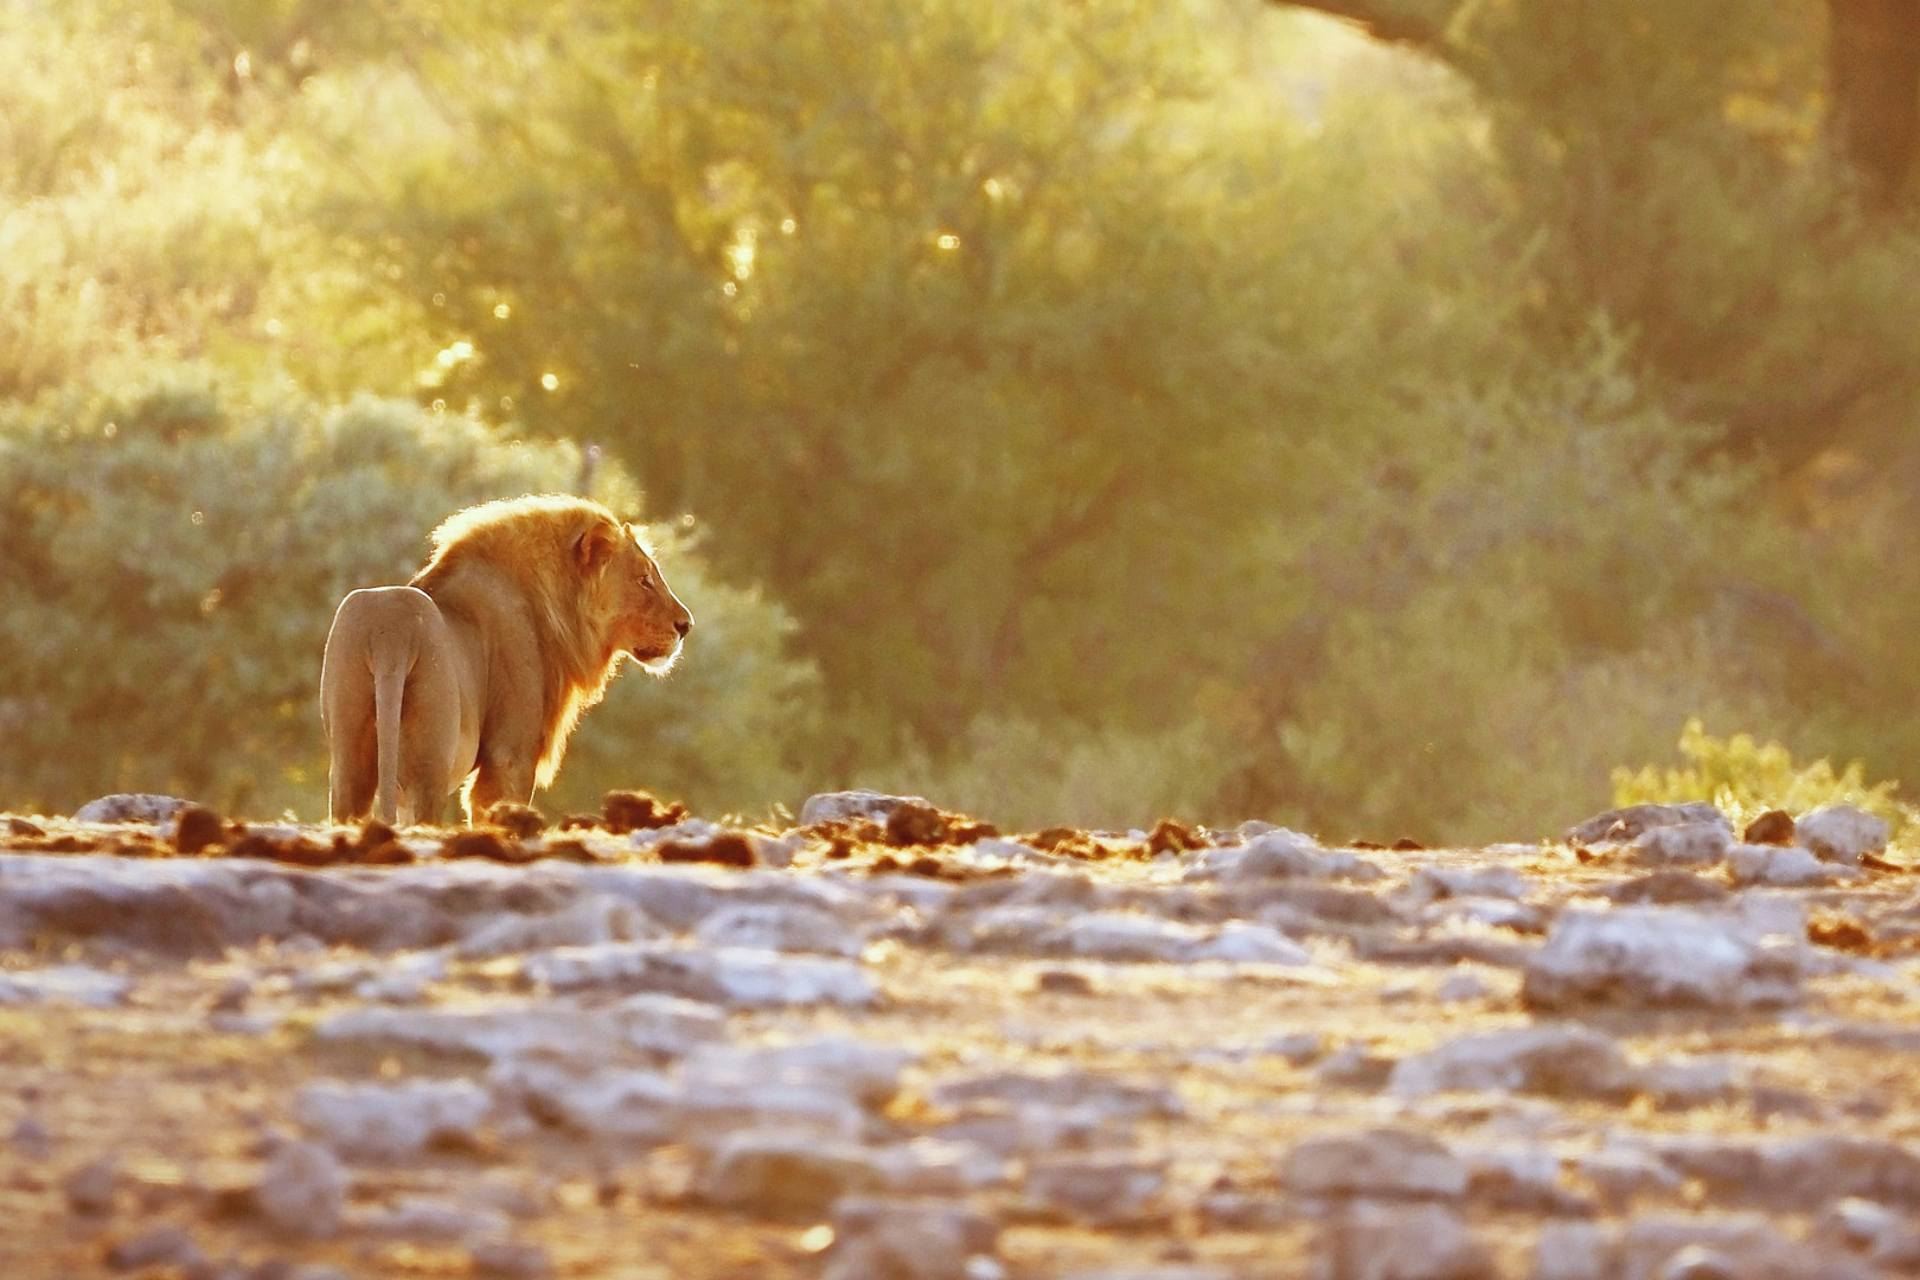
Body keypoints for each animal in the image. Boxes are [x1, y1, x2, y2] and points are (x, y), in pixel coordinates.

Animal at [320, 494, 693, 826]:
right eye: (644, 579)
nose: (686, 625)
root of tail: (390, 634)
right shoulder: (510, 756)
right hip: (429, 764)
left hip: (349, 760)